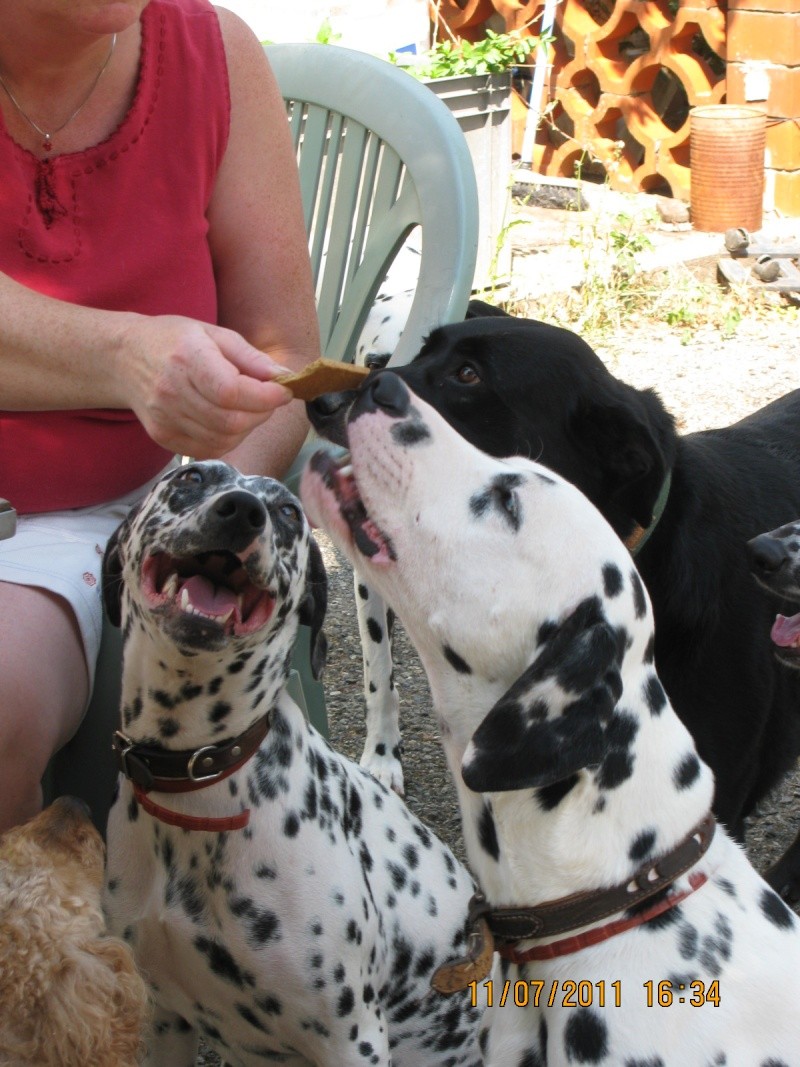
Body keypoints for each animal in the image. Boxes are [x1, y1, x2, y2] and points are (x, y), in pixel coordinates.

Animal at [102, 460, 486, 1067]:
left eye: (287, 511)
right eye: (190, 479)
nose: (241, 510)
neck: (197, 784)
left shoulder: (352, 1037)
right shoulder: (163, 1016)